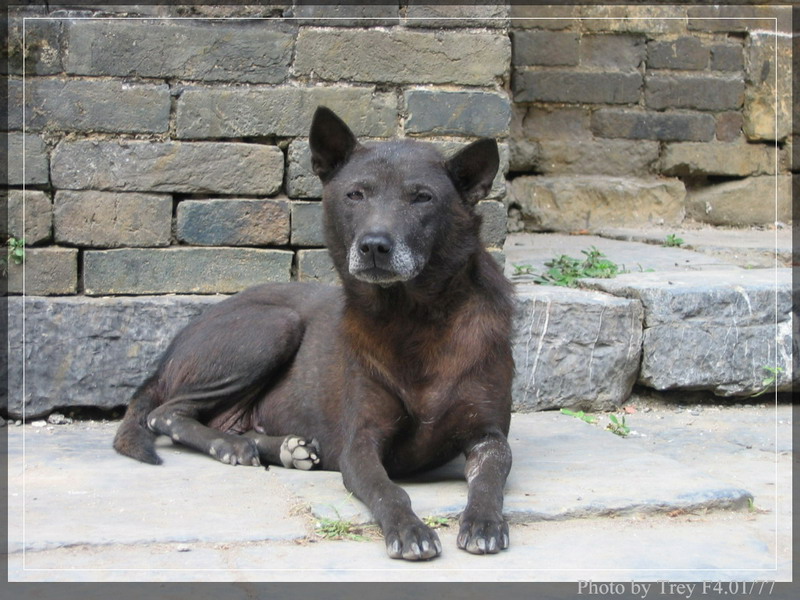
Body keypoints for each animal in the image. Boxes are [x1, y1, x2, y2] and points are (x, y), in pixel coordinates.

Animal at [114, 106, 515, 560]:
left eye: (422, 197)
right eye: (356, 195)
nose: (374, 246)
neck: (412, 318)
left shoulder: (488, 435)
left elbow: (490, 479)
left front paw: (483, 521)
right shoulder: (360, 445)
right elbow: (389, 492)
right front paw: (408, 529)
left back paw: (287, 449)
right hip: (273, 327)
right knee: (166, 413)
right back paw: (231, 447)